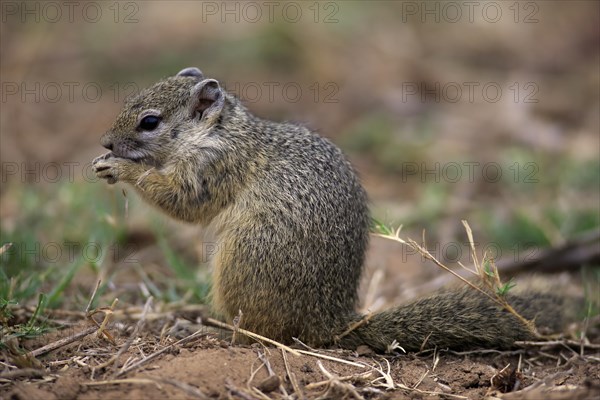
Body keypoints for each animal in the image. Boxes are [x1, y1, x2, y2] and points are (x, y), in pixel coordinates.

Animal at [92, 69, 576, 354]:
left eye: (150, 122)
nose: (106, 142)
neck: (220, 132)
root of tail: (330, 323)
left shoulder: (213, 168)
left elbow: (184, 203)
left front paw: (121, 169)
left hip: (243, 261)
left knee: (263, 332)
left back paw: (217, 331)